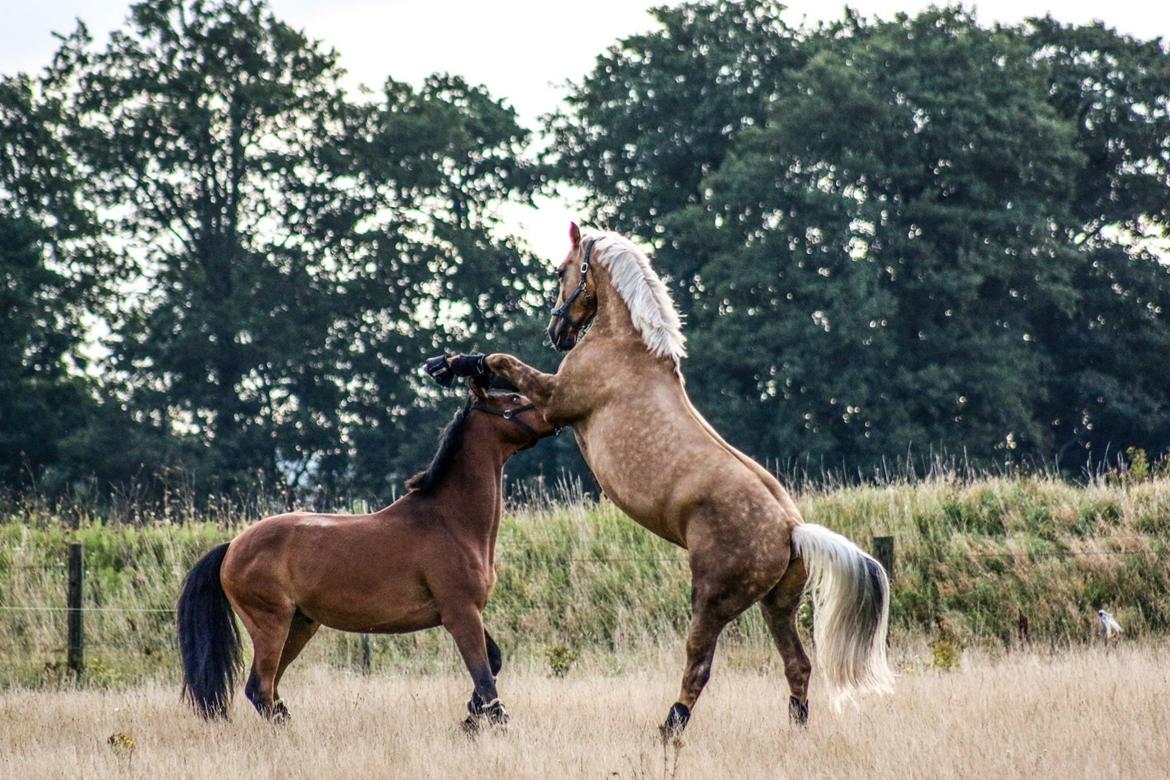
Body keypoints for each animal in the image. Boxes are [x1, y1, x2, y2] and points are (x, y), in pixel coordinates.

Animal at [175, 383, 554, 734]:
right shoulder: (460, 613)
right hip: (271, 625)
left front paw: (471, 716)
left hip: (299, 625)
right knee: (260, 688)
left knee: (269, 688)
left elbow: (493, 663)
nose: (555, 413)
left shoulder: (469, 611)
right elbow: (485, 677)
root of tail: (232, 547)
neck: (450, 521)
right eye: (514, 400)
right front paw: (487, 723)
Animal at [430, 224, 893, 739]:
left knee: (699, 665)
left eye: (561, 270)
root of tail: (793, 530)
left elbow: (503, 360)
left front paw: (455, 363)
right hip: (779, 605)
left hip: (712, 599)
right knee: (798, 665)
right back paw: (794, 731)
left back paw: (669, 729)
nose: (557, 334)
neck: (625, 344)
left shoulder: (553, 403)